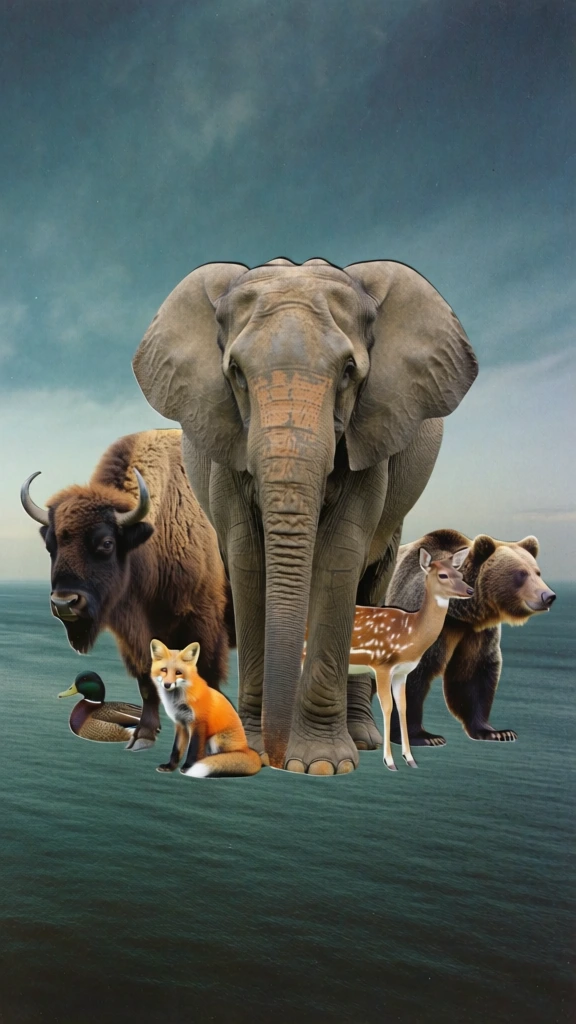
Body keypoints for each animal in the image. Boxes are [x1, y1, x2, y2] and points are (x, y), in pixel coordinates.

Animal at [132, 257, 478, 775]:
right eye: (235, 372)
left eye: (349, 371)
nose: (272, 759)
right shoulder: (225, 445)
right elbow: (248, 558)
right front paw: (256, 749)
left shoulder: (368, 436)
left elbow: (339, 557)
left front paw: (319, 765)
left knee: (369, 577)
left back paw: (363, 740)